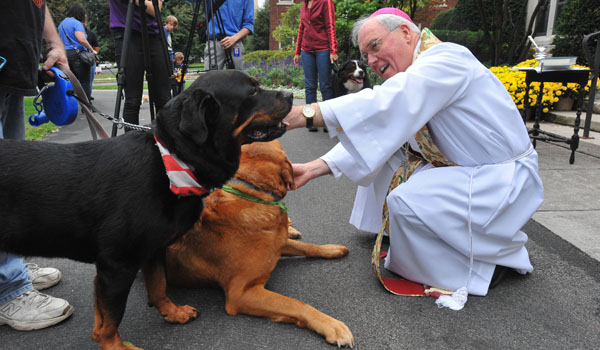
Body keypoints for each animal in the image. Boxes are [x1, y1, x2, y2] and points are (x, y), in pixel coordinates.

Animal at [0, 69, 292, 348]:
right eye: (252, 91)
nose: (290, 94)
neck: (172, 161)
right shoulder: (117, 265)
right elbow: (112, 317)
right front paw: (114, 345)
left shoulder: (152, 250)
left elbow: (157, 285)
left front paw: (172, 312)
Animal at [164, 140, 354, 348]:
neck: (252, 193)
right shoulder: (241, 293)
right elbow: (294, 303)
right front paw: (331, 325)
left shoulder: (278, 243)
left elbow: (308, 246)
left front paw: (331, 249)